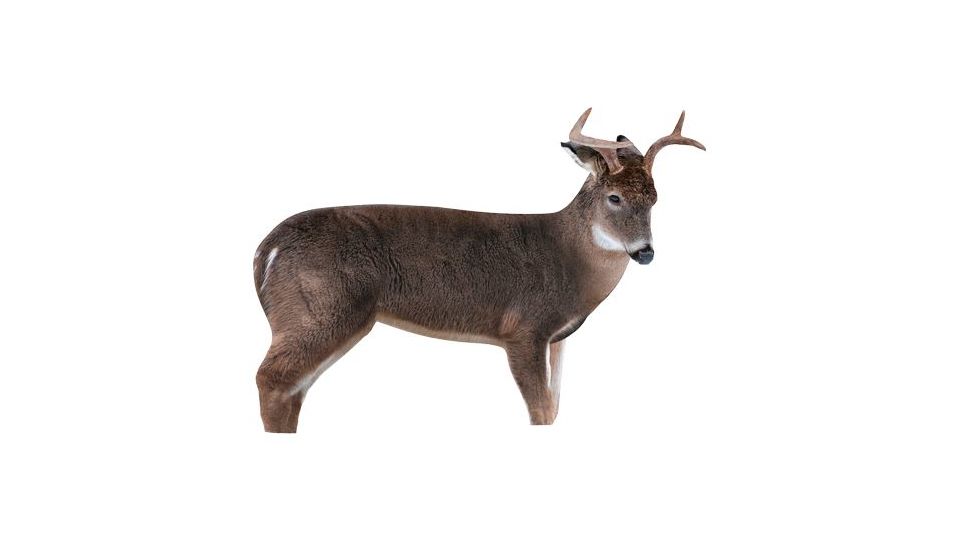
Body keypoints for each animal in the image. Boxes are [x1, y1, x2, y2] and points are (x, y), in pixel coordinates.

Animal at [253, 108, 705, 432]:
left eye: (655, 199)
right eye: (614, 198)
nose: (645, 253)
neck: (569, 258)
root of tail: (265, 250)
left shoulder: (557, 337)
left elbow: (556, 408)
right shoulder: (523, 327)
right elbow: (541, 411)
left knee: (292, 389)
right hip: (322, 306)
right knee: (271, 379)